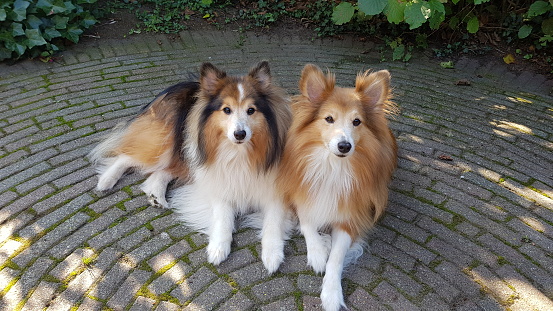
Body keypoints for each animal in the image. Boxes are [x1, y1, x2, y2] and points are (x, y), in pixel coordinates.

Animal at [168, 60, 294, 272]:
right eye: (227, 110)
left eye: (251, 110)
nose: (240, 134)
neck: (239, 154)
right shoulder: (220, 187)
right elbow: (222, 217)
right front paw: (218, 247)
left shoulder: (275, 192)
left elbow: (273, 222)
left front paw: (272, 254)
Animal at [276, 64, 396, 311]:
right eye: (329, 118)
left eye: (357, 122)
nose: (344, 146)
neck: (332, 167)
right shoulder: (300, 196)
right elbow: (308, 224)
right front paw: (317, 253)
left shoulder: (350, 217)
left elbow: (337, 258)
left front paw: (331, 294)